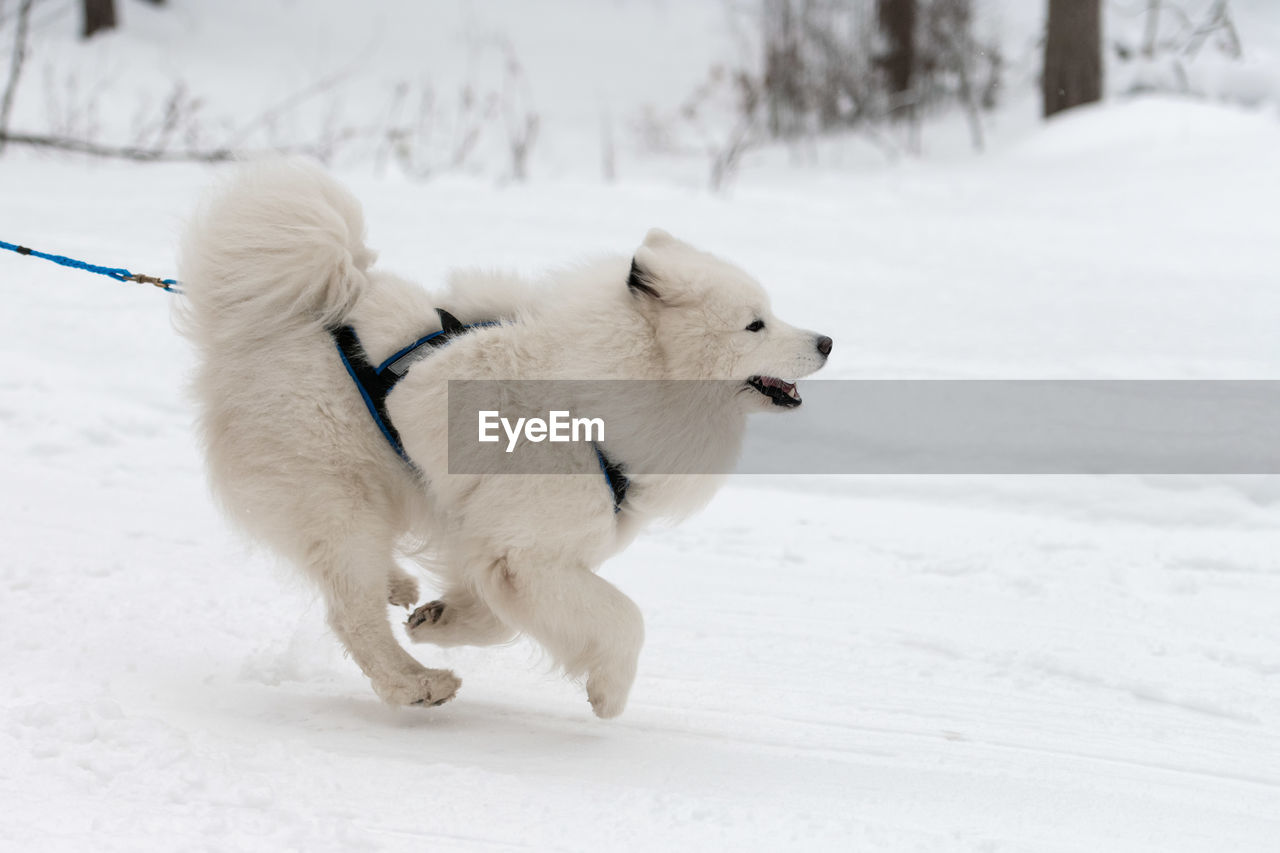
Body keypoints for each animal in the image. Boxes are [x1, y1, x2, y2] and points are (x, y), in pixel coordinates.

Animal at [180, 161, 834, 717]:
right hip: (339, 500)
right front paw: (609, 693)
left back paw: (401, 590)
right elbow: (624, 616)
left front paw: (440, 619)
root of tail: (264, 326)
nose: (827, 341)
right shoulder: (526, 549)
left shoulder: (496, 540)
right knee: (351, 614)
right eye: (755, 325)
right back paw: (417, 685)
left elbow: (500, 617)